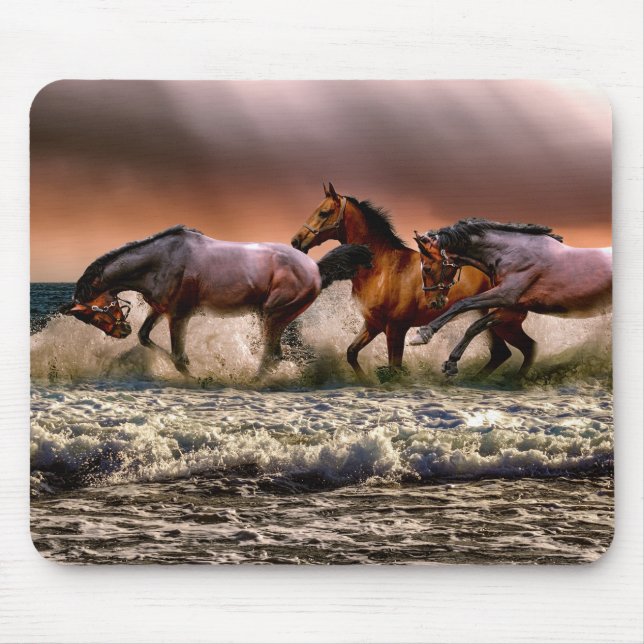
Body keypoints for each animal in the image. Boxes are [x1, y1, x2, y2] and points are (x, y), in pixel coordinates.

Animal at [60, 225, 373, 377]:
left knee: (271, 356)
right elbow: (145, 337)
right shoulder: (159, 310)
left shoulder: (179, 315)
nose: (119, 331)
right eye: (87, 318)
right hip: (273, 318)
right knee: (274, 356)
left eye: (94, 311)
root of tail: (316, 269)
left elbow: (179, 357)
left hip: (273, 315)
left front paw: (198, 378)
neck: (160, 261)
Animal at [290, 183, 536, 381]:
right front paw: (367, 381)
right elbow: (351, 353)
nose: (296, 241)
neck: (383, 269)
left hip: (504, 323)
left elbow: (394, 369)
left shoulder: (396, 329)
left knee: (526, 349)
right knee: (503, 353)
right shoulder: (373, 325)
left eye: (323, 213)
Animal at [410, 218, 612, 376]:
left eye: (427, 268)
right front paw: (451, 363)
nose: (433, 302)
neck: (512, 253)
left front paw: (423, 333)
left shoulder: (505, 295)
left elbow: (462, 304)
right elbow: (476, 326)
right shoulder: (512, 308)